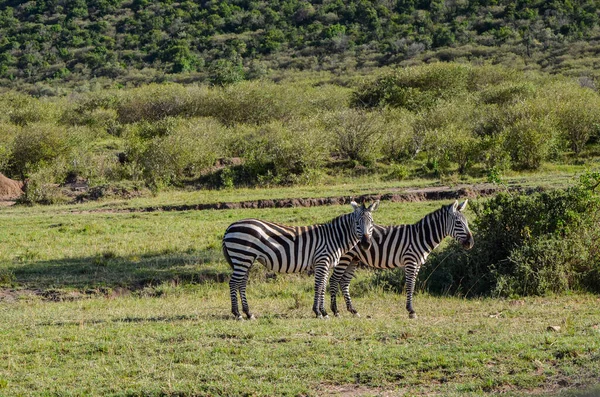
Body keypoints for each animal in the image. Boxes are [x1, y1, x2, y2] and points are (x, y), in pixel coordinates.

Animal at [220, 201, 380, 318]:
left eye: (371, 222)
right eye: (357, 223)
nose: (366, 243)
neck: (335, 237)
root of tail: (230, 226)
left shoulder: (326, 264)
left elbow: (323, 286)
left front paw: (322, 311)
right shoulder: (322, 261)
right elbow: (319, 286)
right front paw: (320, 312)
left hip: (246, 259)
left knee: (241, 283)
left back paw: (248, 313)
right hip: (242, 257)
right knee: (233, 283)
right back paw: (237, 314)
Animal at [328, 198, 474, 318]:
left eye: (466, 222)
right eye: (458, 223)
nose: (470, 243)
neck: (421, 237)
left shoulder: (417, 263)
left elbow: (413, 284)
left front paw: (411, 309)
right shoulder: (410, 261)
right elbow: (410, 285)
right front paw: (411, 311)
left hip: (354, 258)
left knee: (344, 282)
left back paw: (353, 310)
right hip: (345, 258)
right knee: (334, 280)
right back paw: (335, 311)